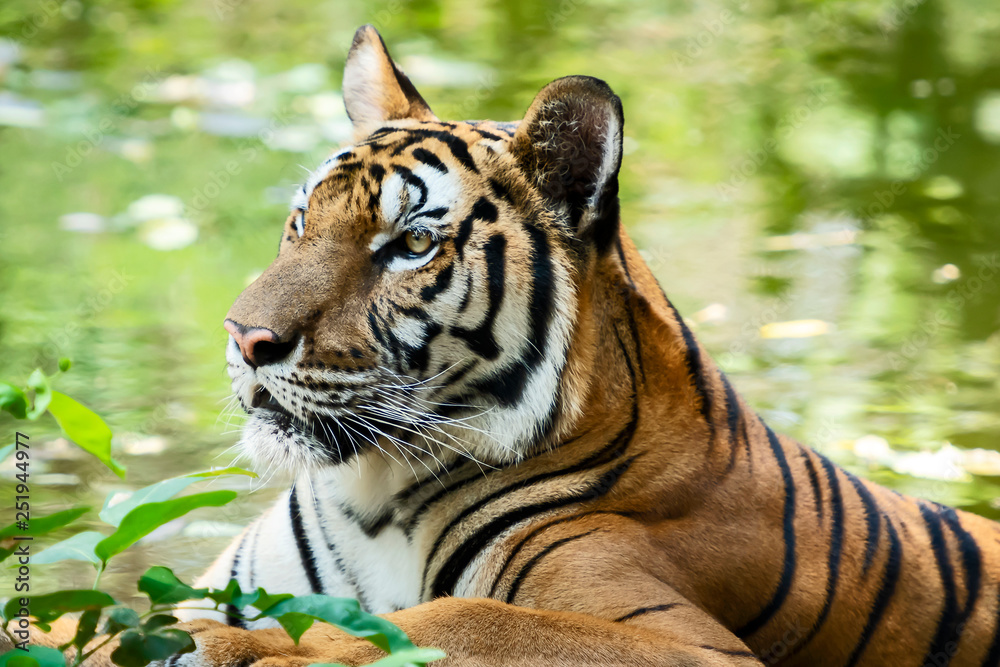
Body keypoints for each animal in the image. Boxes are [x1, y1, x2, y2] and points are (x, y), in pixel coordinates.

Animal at [17, 23, 1000, 667]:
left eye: (411, 243)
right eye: (300, 221)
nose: (246, 337)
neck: (372, 494)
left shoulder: (685, 644)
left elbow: (452, 620)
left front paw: (229, 642)